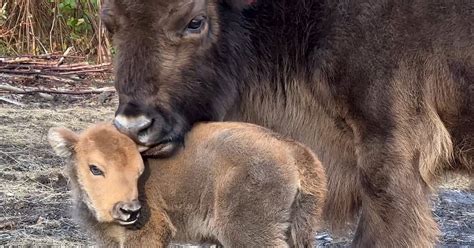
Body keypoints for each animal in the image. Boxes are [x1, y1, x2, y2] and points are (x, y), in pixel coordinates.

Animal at [50, 123, 328, 247]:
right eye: (95, 168)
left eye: (139, 170)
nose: (129, 210)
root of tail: (293, 150)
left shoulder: (150, 233)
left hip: (247, 232)